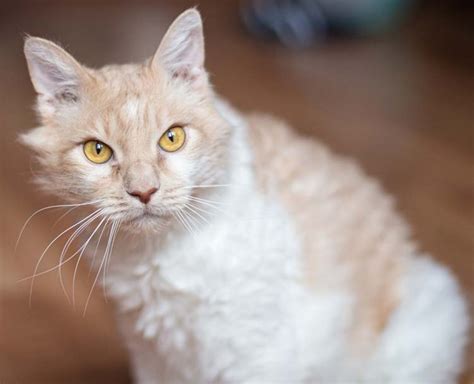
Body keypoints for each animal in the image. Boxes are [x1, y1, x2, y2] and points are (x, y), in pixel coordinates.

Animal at [22, 7, 470, 382]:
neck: (159, 252)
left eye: (172, 139)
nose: (144, 191)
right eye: (98, 151)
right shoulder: (153, 355)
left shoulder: (259, 355)